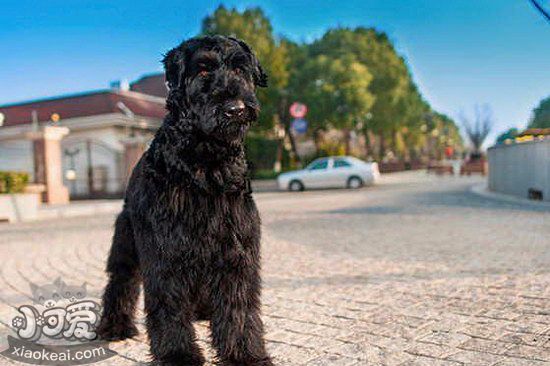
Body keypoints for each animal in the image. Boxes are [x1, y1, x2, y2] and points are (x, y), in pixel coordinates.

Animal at [98, 35, 274, 366]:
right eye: (203, 70)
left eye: (240, 69)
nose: (235, 109)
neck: (206, 159)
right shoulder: (166, 251)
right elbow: (168, 304)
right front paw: (178, 354)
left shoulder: (236, 248)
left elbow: (239, 305)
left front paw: (243, 354)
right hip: (126, 243)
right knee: (121, 282)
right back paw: (114, 325)